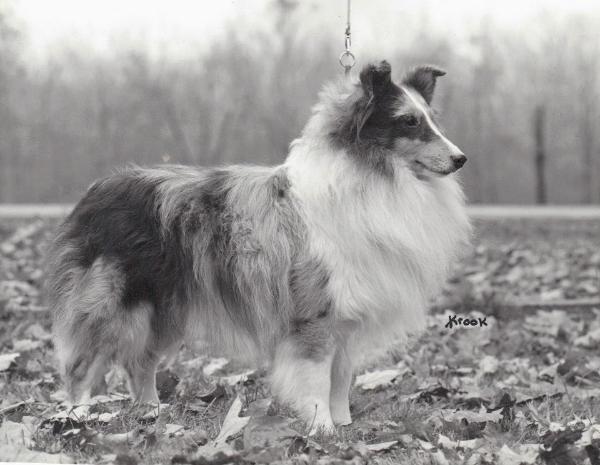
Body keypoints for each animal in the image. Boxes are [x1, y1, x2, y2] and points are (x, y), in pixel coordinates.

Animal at [45, 59, 468, 434]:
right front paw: (322, 429)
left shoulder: (346, 316)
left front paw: (344, 423)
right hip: (113, 305)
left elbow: (341, 377)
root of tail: (97, 189)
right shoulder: (314, 315)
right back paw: (78, 417)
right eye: (409, 121)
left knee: (140, 363)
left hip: (163, 309)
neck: (375, 176)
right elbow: (318, 378)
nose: (461, 158)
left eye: (432, 119)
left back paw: (151, 413)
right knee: (83, 366)